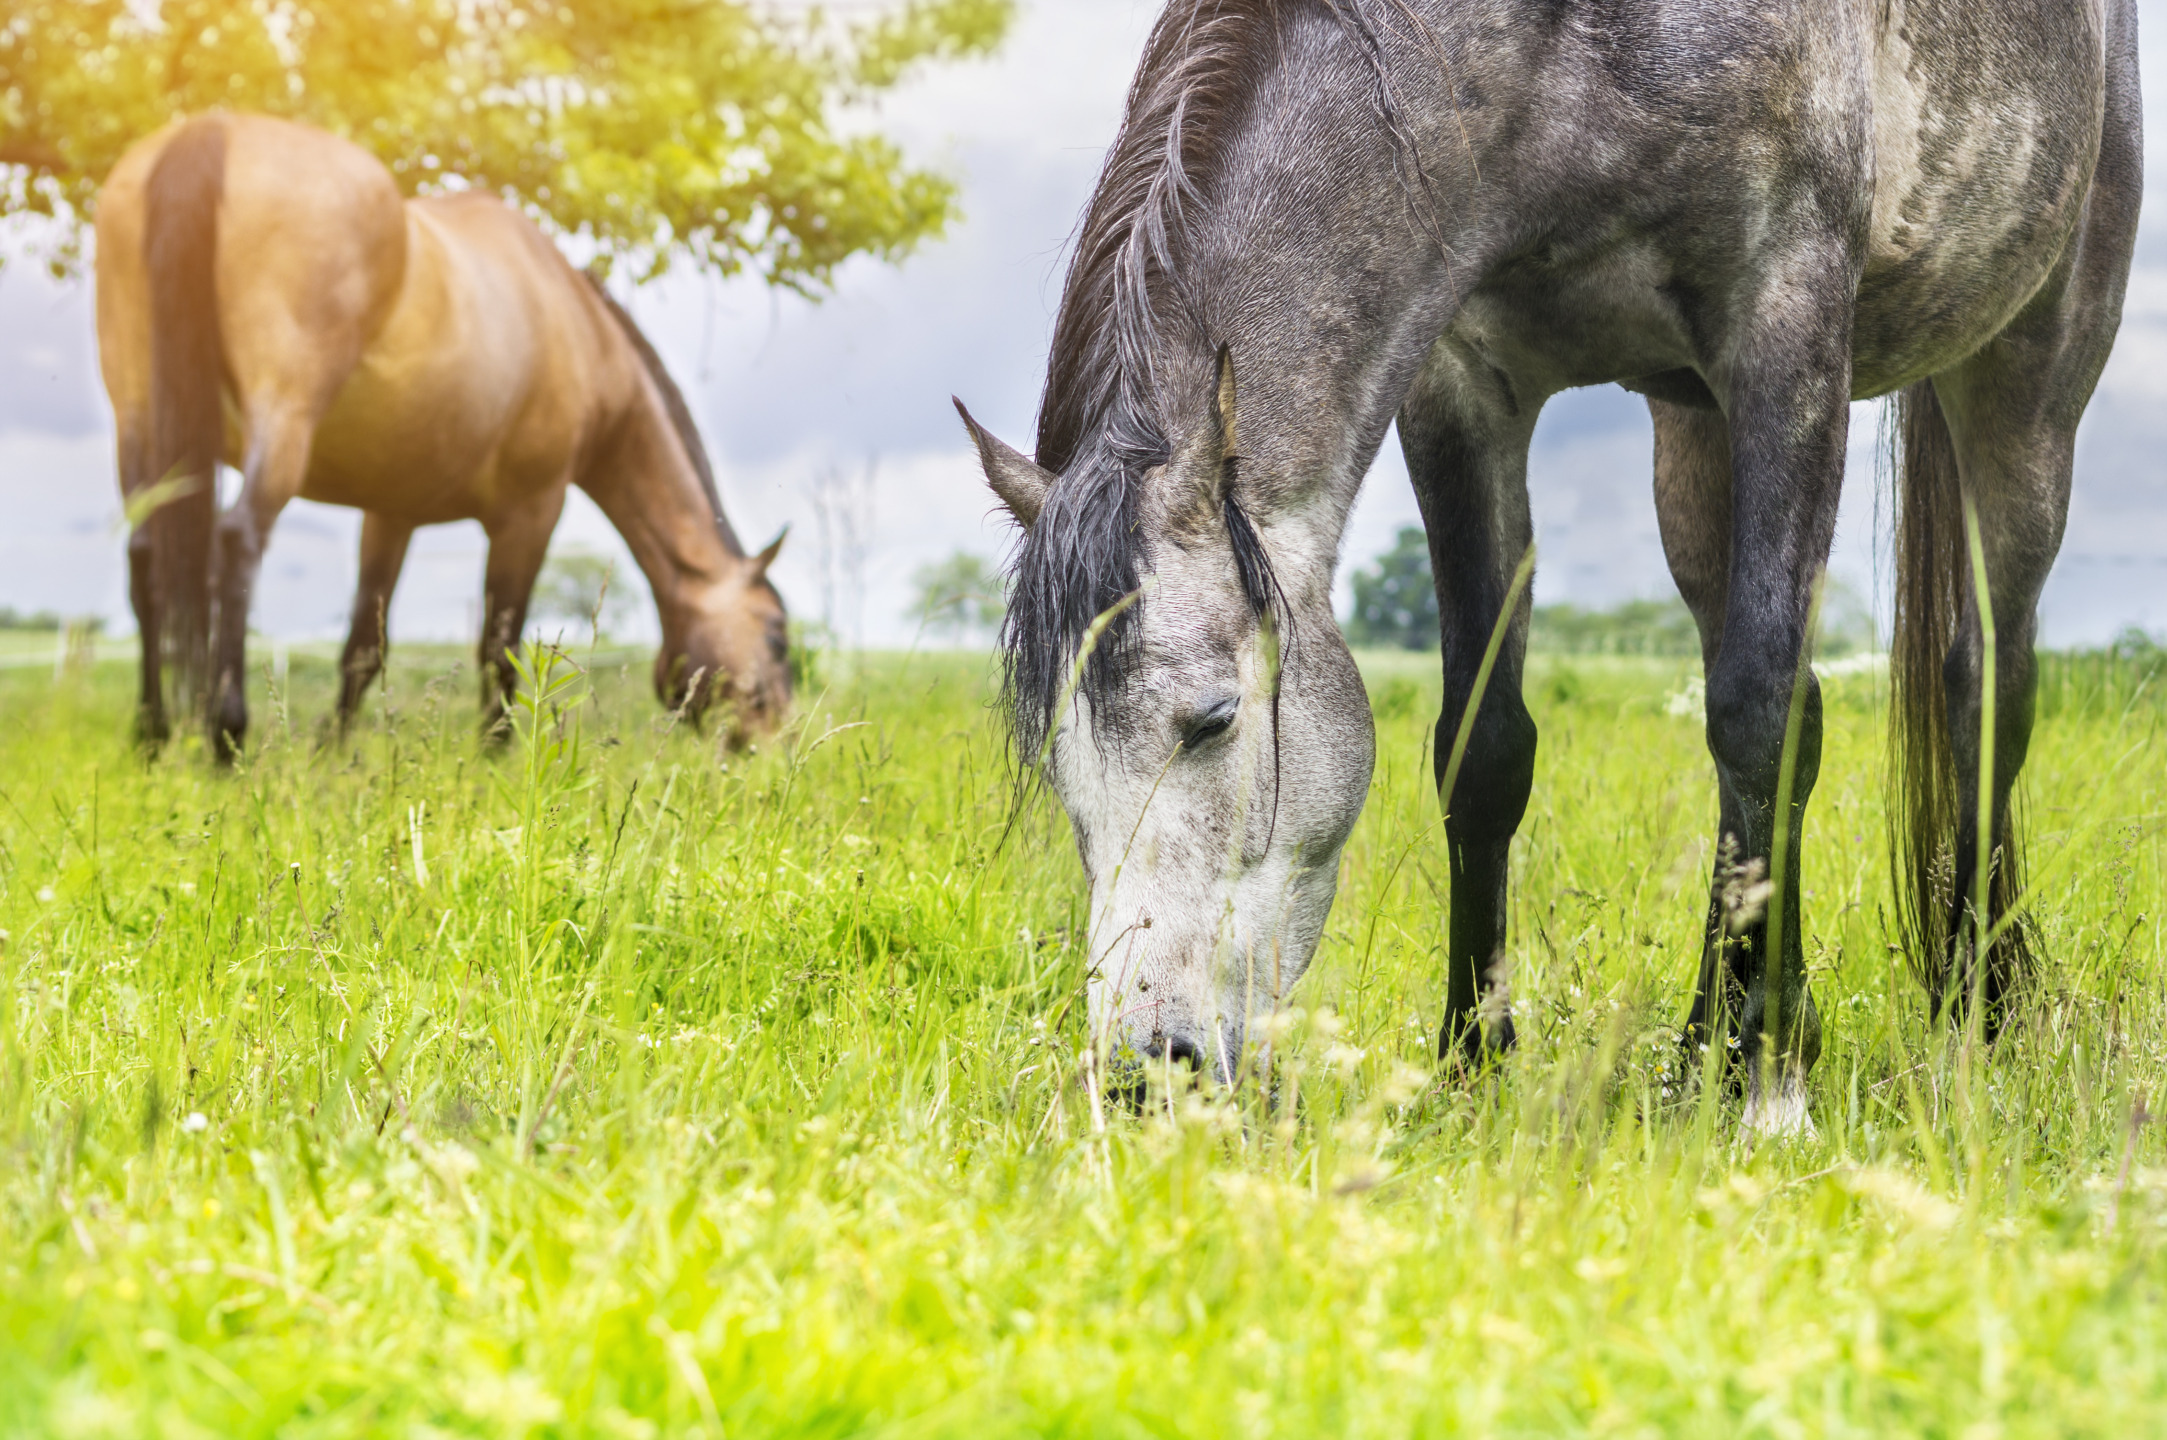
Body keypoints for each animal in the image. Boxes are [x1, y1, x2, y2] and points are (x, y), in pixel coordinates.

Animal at [95, 112, 788, 757]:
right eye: (777, 633)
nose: (773, 743)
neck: (580, 330)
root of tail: (213, 130)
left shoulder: (391, 513)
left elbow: (363, 647)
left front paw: (330, 750)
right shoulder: (531, 512)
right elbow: (498, 645)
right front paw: (495, 752)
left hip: (138, 418)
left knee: (145, 552)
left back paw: (152, 732)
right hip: (283, 413)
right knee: (237, 538)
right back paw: (225, 733)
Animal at [962, 0, 2132, 1126]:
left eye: (1211, 721)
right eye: (1058, 763)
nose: (1141, 1076)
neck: (1562, 45)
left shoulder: (1786, 332)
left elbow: (1759, 718)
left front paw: (1768, 1091)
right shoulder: (1463, 382)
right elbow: (1485, 746)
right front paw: (1472, 1066)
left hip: (2028, 380)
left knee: (1980, 689)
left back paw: (1975, 1012)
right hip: (1692, 437)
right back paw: (1705, 1049)